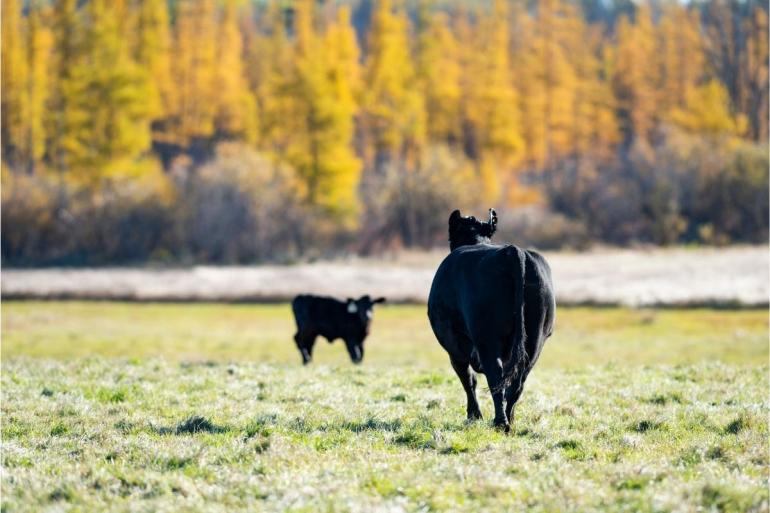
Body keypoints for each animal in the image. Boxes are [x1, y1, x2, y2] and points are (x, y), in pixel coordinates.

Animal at [426, 208, 552, 432]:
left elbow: (468, 379)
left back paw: (500, 423)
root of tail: (511, 251)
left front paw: (473, 416)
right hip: (536, 339)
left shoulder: (454, 345)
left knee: (495, 375)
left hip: (486, 336)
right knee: (517, 380)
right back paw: (510, 419)